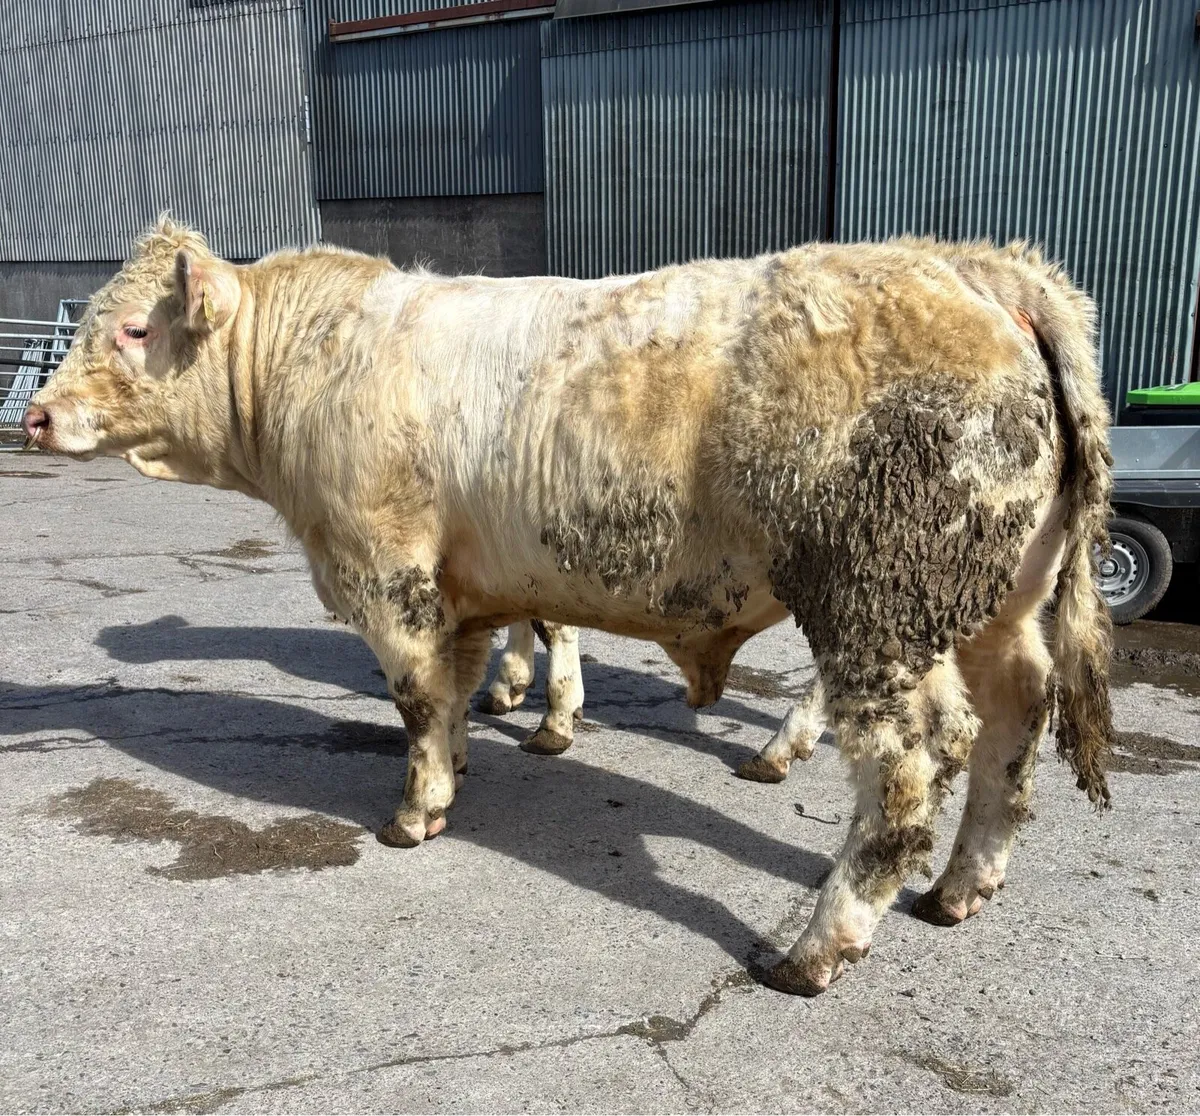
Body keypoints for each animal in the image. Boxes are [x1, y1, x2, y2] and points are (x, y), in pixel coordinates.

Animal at [24, 218, 1115, 996]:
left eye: (132, 328)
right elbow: (462, 685)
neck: (315, 362)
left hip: (877, 609)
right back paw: (961, 890)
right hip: (993, 607)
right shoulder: (471, 584)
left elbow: (417, 699)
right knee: (1012, 726)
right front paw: (475, 751)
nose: (34, 415)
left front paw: (417, 810)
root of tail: (977, 267)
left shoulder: (387, 571)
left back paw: (814, 950)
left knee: (910, 769)